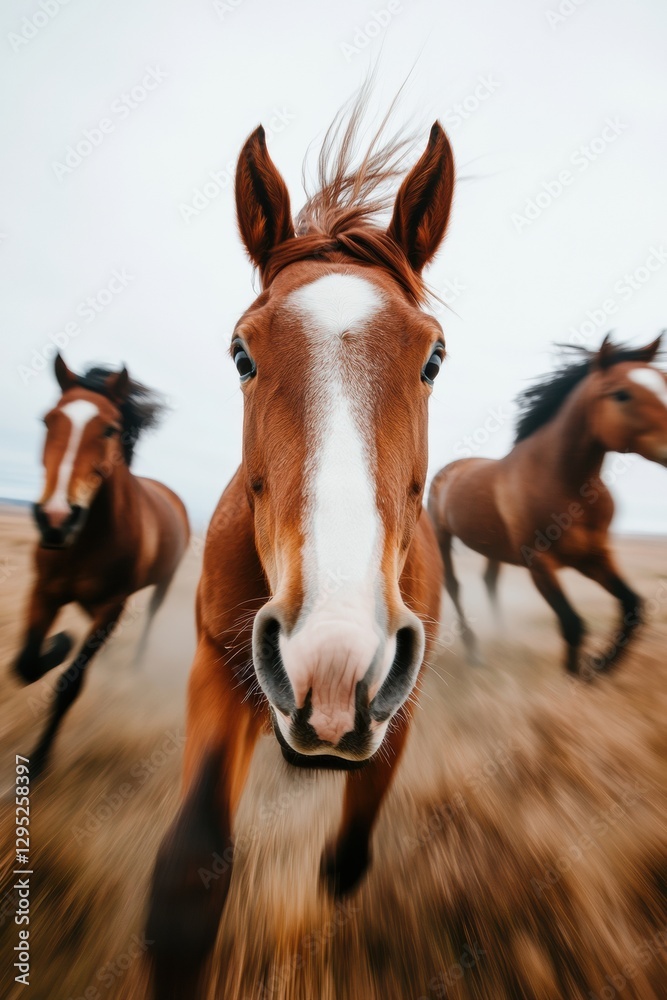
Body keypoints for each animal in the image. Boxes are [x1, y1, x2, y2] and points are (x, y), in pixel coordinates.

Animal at [13, 354, 190, 778]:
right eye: (48, 420)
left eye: (110, 429)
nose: (56, 518)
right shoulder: (43, 592)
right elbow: (25, 664)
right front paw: (59, 643)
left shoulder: (112, 607)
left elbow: (69, 684)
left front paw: (39, 761)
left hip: (162, 583)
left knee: (151, 617)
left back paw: (136, 662)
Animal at [145, 107, 455, 997]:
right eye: (241, 353)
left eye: (433, 355)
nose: (332, 655)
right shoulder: (220, 668)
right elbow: (187, 875)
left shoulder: (397, 704)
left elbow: (345, 862)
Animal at [428, 334, 667, 675]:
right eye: (622, 394)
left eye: (664, 381)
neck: (564, 487)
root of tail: (451, 469)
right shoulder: (540, 564)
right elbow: (572, 624)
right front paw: (577, 674)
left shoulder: (594, 556)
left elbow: (632, 606)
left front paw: (601, 665)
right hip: (443, 537)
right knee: (454, 585)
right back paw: (474, 652)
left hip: (493, 548)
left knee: (490, 582)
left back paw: (503, 638)